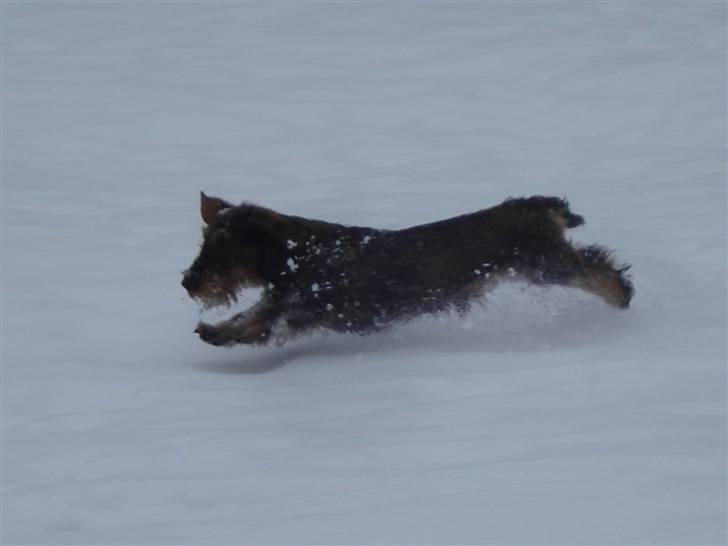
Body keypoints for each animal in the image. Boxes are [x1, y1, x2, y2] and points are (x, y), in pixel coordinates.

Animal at [182, 191, 632, 344]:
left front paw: (218, 334)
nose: (187, 282)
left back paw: (620, 296)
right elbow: (253, 313)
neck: (300, 252)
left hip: (546, 263)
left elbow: (257, 323)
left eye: (222, 250)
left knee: (599, 267)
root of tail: (536, 206)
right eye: (203, 244)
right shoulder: (285, 298)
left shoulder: (302, 304)